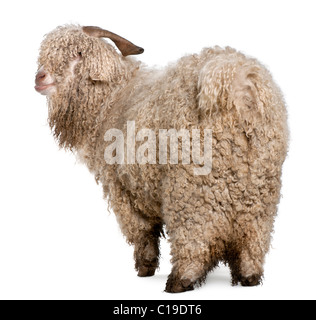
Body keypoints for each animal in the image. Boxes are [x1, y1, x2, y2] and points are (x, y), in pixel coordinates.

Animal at [35, 25, 288, 292]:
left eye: (79, 53)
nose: (39, 77)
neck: (112, 98)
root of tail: (236, 82)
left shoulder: (123, 188)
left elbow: (142, 230)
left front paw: (145, 267)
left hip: (190, 184)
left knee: (193, 232)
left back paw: (181, 279)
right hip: (259, 184)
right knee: (254, 232)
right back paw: (249, 275)